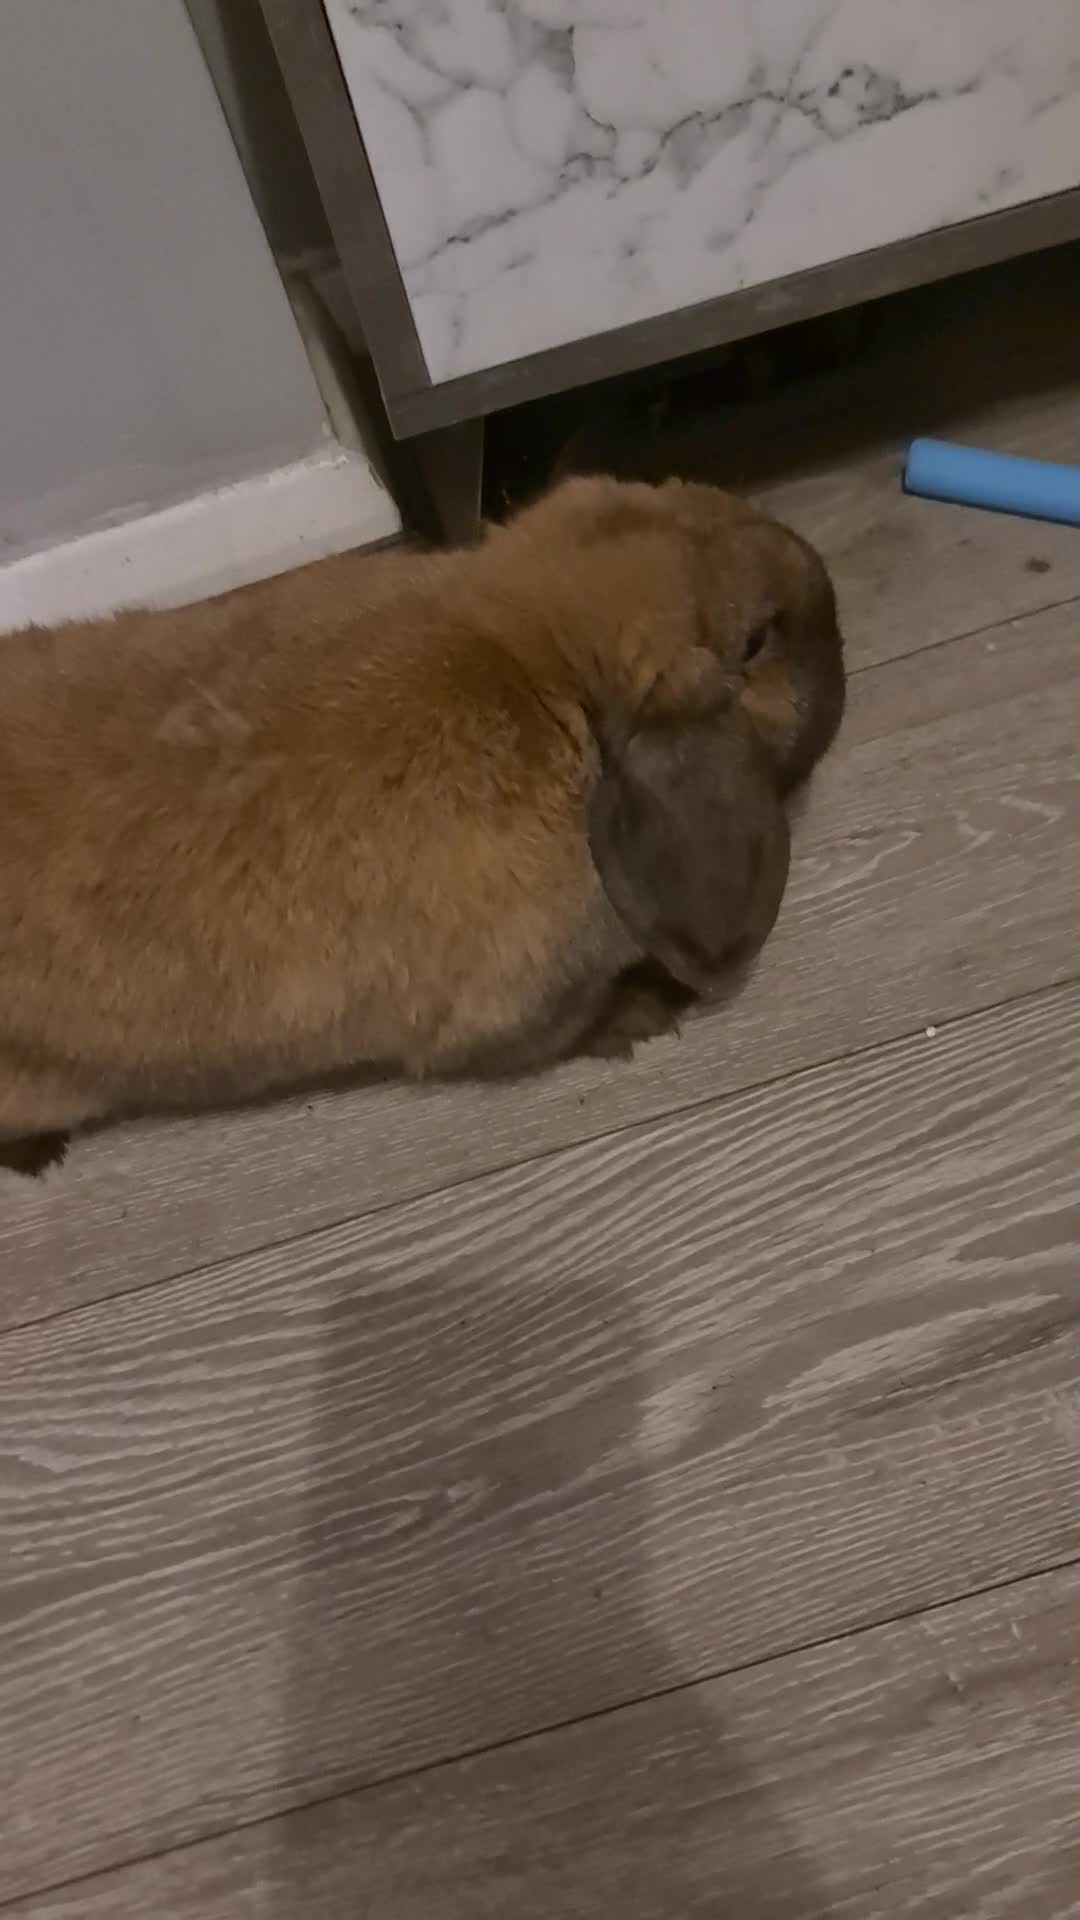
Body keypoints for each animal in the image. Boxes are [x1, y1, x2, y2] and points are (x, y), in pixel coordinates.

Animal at [0, 474, 844, 1171]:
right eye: (755, 641)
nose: (827, 587)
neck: (543, 669)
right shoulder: (514, 1001)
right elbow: (563, 1029)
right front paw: (644, 1017)